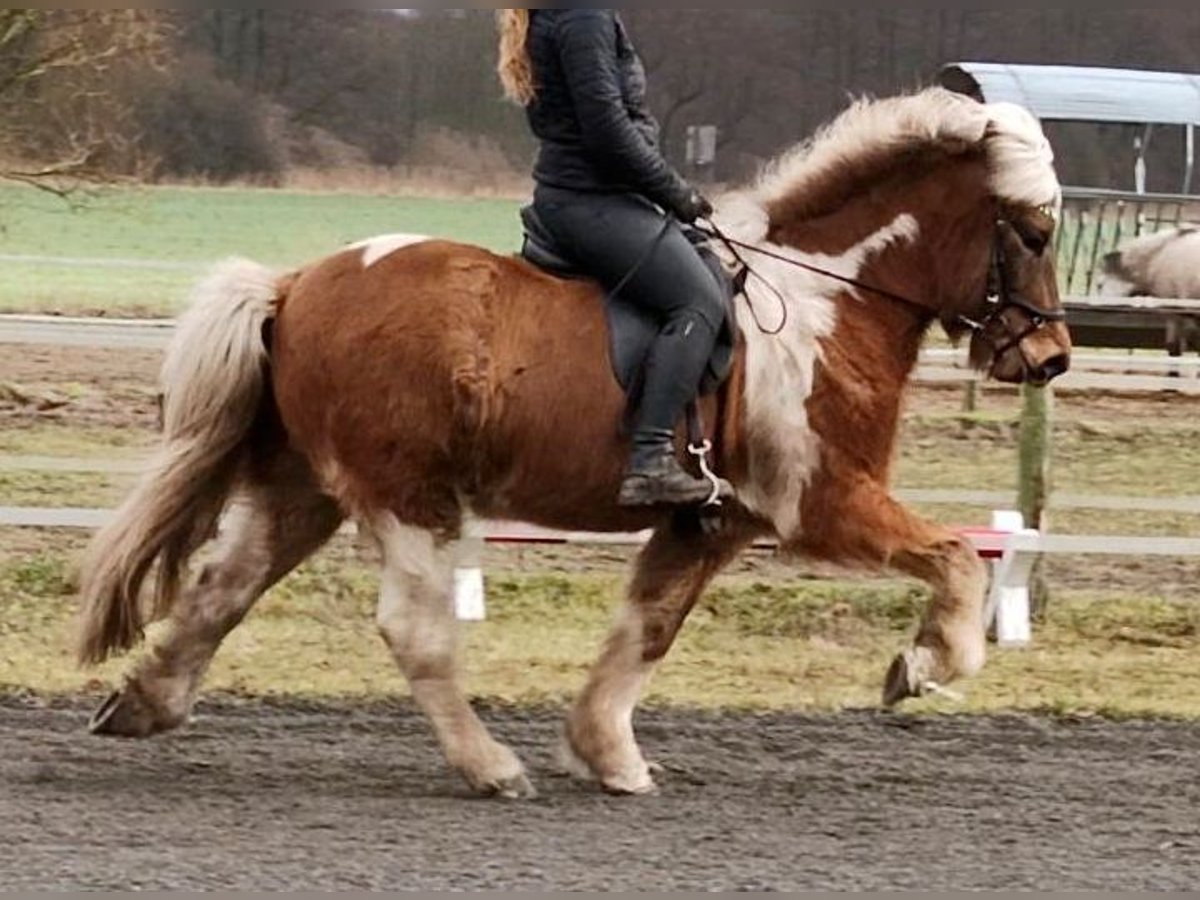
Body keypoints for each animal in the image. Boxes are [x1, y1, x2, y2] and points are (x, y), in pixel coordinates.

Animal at [75, 88, 1070, 801]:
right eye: (1033, 232)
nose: (1051, 357)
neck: (827, 298)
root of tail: (296, 284)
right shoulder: (820, 501)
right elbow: (958, 562)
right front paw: (922, 667)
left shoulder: (710, 522)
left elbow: (647, 629)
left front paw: (607, 755)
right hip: (407, 497)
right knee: (412, 630)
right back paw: (489, 768)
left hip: (302, 491)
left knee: (222, 588)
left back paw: (144, 703)